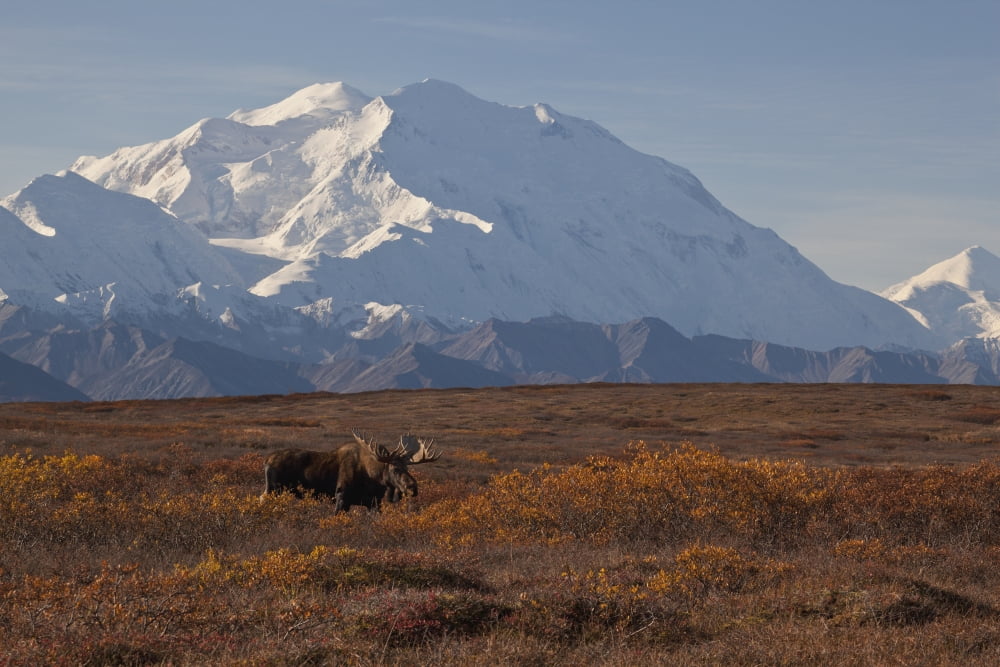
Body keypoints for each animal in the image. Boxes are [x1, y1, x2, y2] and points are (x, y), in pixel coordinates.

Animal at [261, 428, 441, 512]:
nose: (413, 488)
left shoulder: (374, 503)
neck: (373, 479)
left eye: (407, 467)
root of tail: (266, 460)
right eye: (395, 469)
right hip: (274, 489)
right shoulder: (341, 497)